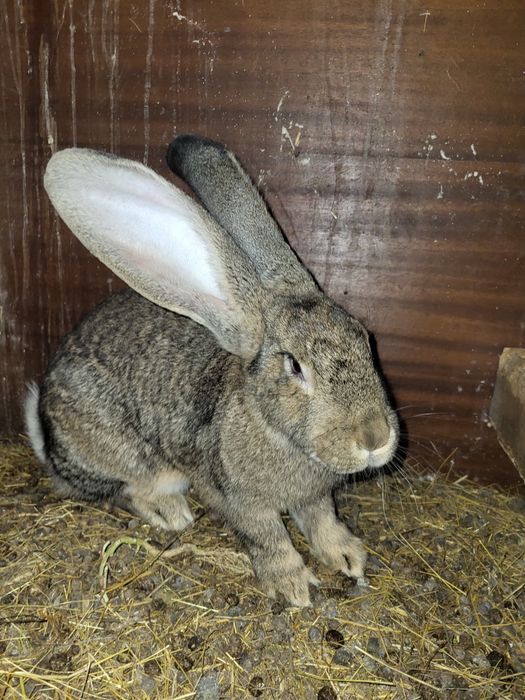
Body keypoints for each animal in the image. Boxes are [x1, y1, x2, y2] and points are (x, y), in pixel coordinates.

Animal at [25, 137, 399, 606]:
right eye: (295, 366)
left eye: (365, 338)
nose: (374, 438)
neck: (274, 429)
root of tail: (48, 440)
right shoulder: (239, 500)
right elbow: (269, 539)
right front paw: (293, 586)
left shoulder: (316, 498)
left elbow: (322, 521)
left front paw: (348, 556)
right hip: (136, 459)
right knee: (125, 489)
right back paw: (170, 512)